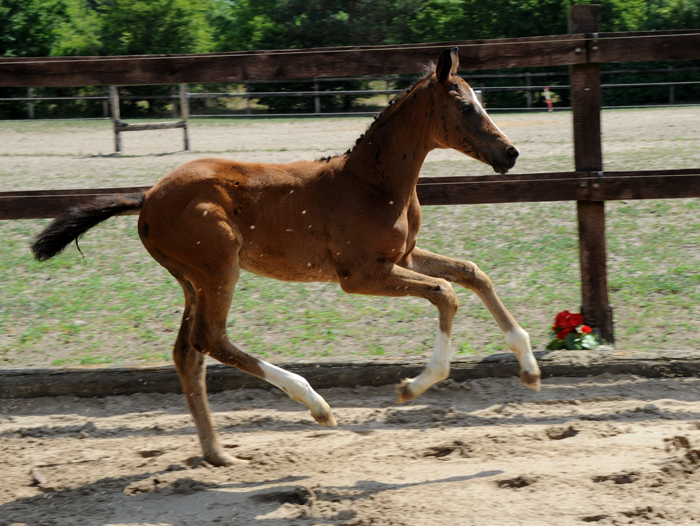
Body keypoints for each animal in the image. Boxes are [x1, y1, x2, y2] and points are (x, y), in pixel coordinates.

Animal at [34, 49, 540, 468]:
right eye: (465, 106)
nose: (511, 153)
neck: (371, 184)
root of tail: (148, 196)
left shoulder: (404, 257)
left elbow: (473, 274)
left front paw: (530, 369)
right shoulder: (361, 274)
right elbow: (446, 293)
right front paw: (413, 385)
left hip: (191, 279)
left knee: (187, 352)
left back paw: (218, 454)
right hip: (219, 268)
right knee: (210, 339)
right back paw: (315, 404)